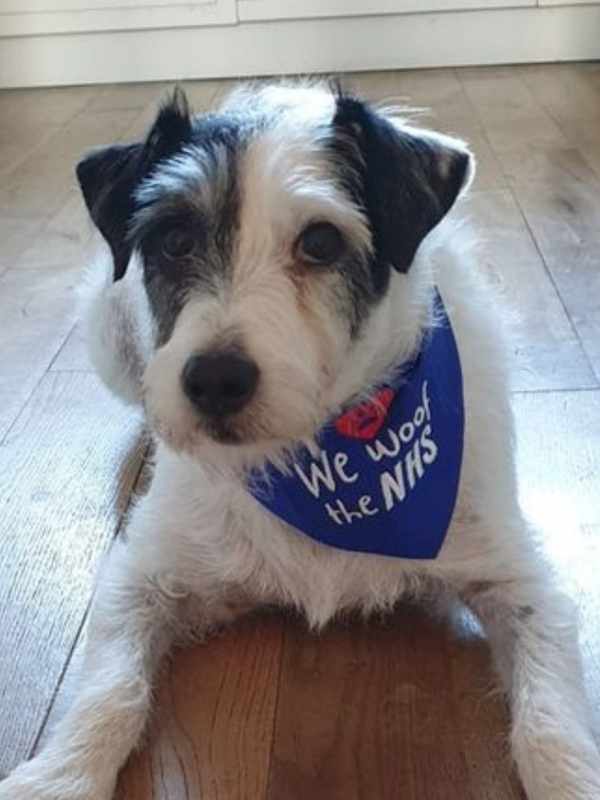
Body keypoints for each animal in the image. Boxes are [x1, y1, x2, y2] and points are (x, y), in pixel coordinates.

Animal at [1, 83, 600, 800]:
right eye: (173, 239)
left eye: (320, 241)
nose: (214, 380)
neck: (321, 457)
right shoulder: (141, 576)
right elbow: (109, 689)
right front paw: (58, 776)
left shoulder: (520, 577)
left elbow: (548, 719)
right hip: (108, 332)